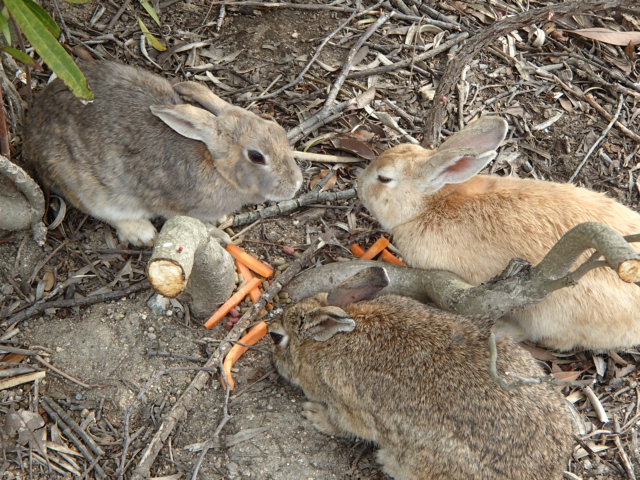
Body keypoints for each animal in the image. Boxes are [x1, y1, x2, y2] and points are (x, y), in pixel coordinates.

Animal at [23, 60, 304, 246]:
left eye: (277, 129)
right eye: (256, 156)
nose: (296, 184)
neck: (215, 165)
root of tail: (31, 133)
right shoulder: (170, 204)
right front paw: (218, 235)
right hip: (84, 186)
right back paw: (141, 233)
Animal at [272, 266, 576, 480]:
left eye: (277, 337)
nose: (272, 359)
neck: (328, 341)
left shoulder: (346, 405)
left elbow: (340, 425)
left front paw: (314, 415)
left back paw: (387, 463)